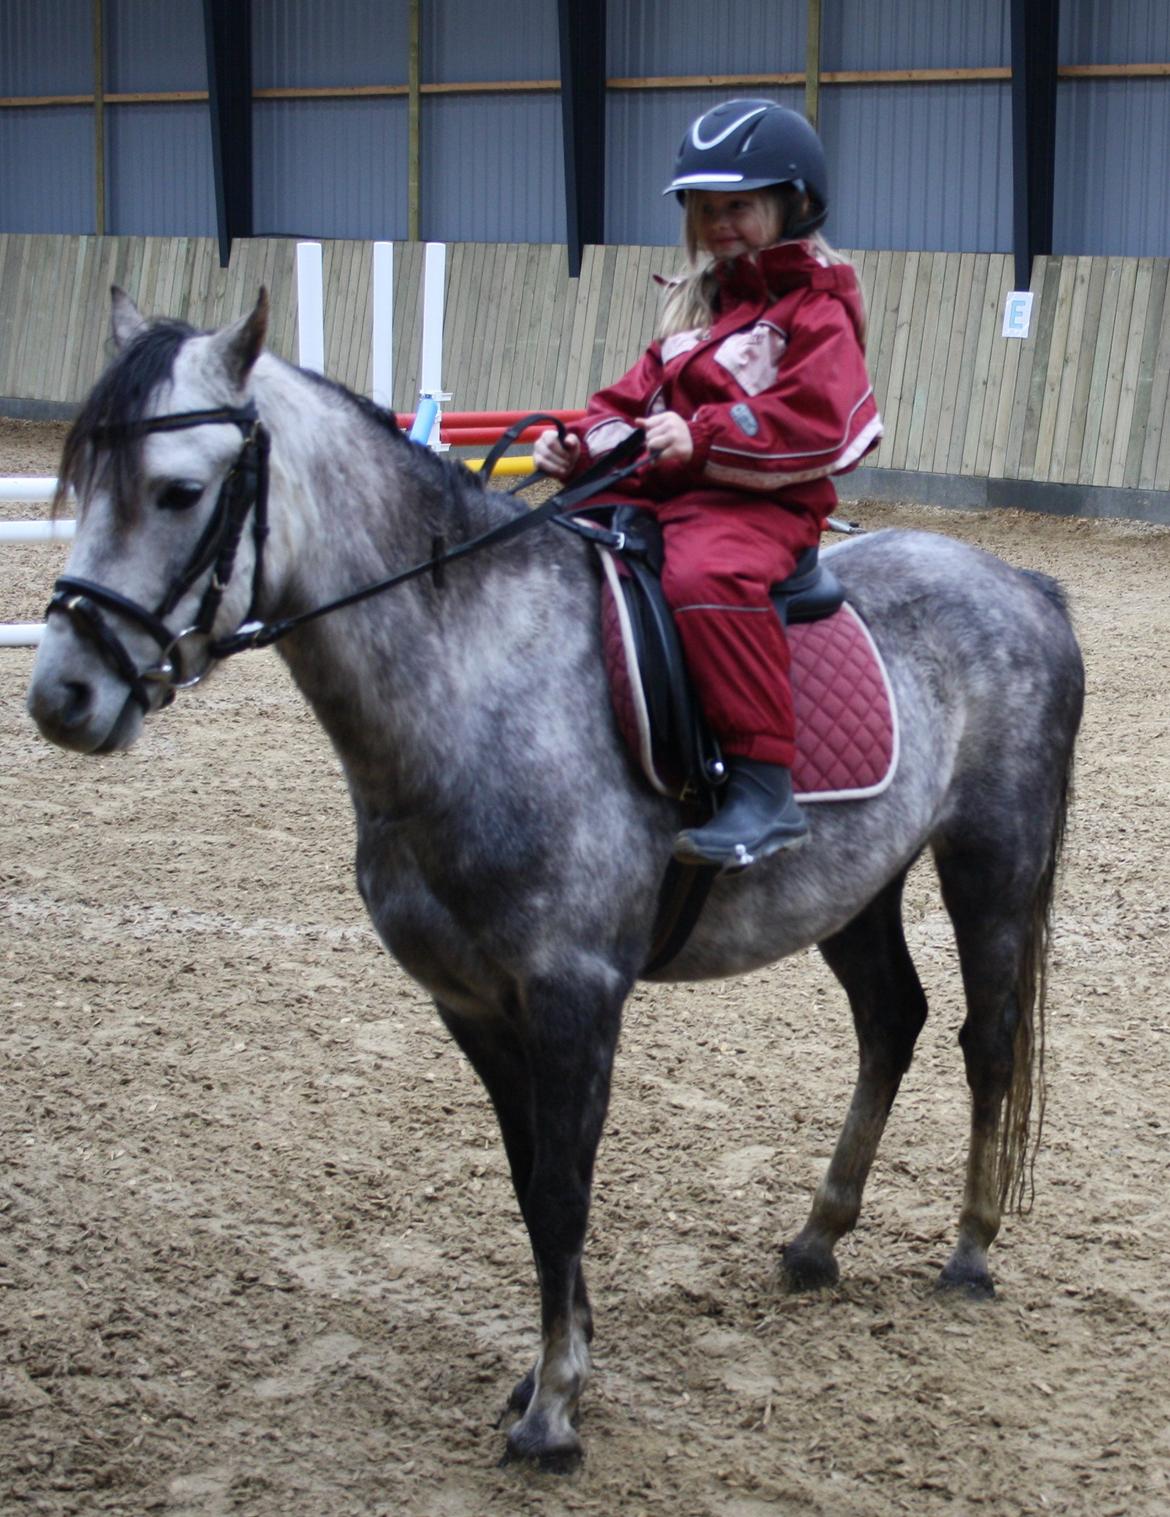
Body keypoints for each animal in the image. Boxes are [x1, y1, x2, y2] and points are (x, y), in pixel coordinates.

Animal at [26, 289, 1084, 1470]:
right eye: (85, 479)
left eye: (179, 489)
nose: (63, 695)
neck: (478, 675)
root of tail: (1020, 582)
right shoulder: (473, 1001)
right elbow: (531, 1179)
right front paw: (548, 1371)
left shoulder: (574, 991)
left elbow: (563, 1187)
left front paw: (555, 1410)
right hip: (854, 888)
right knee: (892, 1020)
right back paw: (818, 1237)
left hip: (991, 861)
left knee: (987, 1040)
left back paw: (970, 1252)